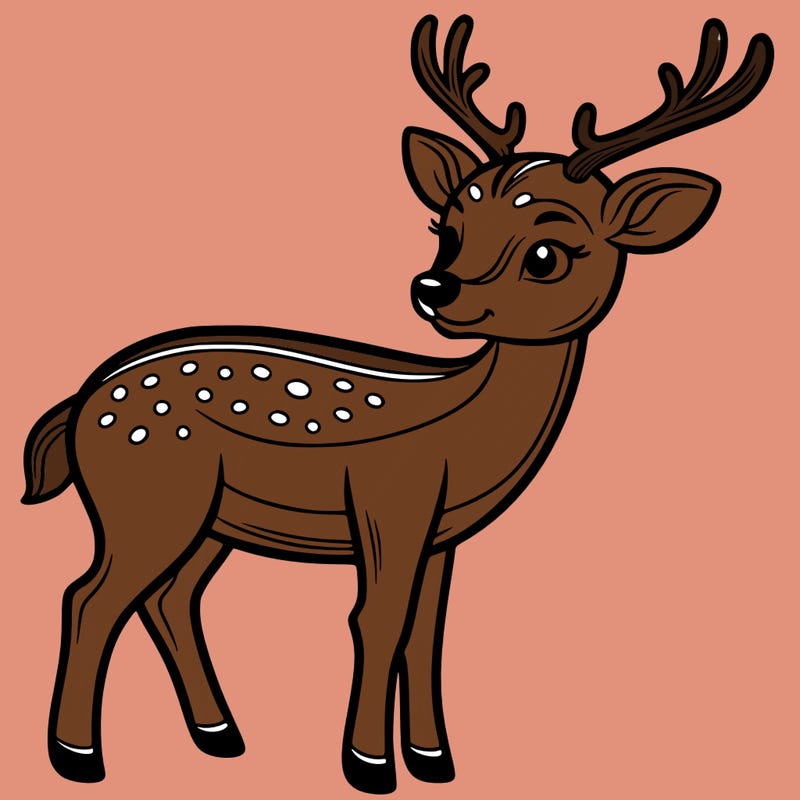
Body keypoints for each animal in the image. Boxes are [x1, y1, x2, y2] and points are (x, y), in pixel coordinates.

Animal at [22, 14, 772, 795]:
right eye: (448, 226)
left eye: (547, 254)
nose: (434, 288)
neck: (465, 429)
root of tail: (82, 401)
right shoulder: (392, 503)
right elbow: (377, 620)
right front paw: (368, 764)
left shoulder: (442, 534)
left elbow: (427, 633)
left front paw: (435, 760)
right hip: (147, 498)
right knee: (89, 596)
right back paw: (78, 756)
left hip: (208, 520)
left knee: (168, 599)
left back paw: (220, 735)